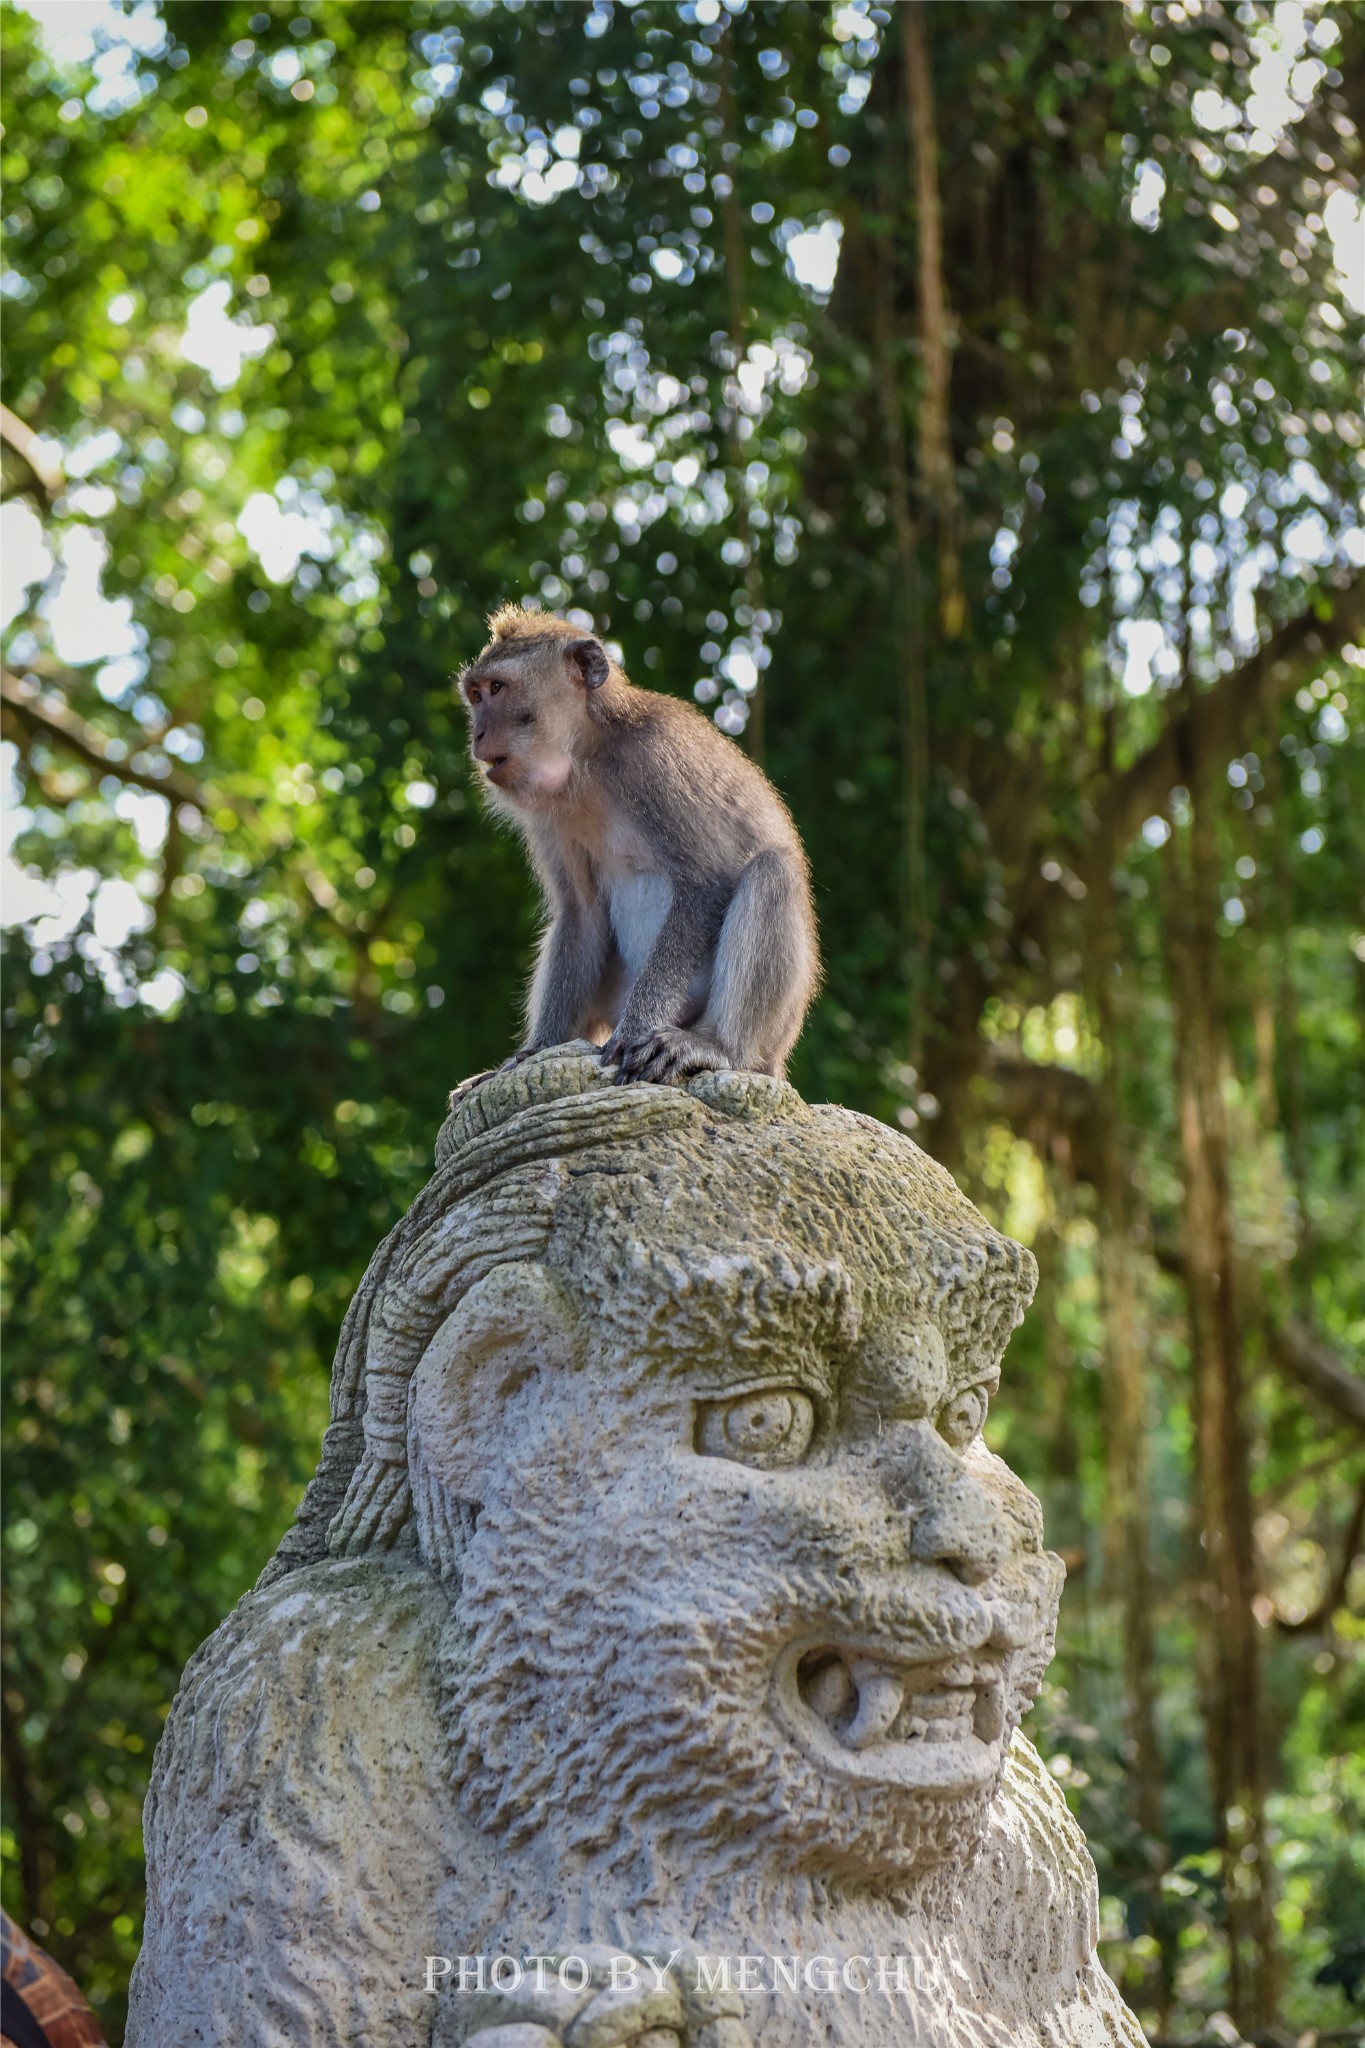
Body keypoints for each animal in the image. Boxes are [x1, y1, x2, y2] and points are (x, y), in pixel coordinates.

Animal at [458, 602, 822, 1089]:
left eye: (497, 688)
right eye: (476, 695)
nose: (477, 734)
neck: (588, 758)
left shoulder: (655, 763)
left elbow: (706, 883)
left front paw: (632, 1033)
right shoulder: (548, 816)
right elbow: (581, 912)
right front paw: (537, 1049)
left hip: (768, 1034)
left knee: (772, 871)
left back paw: (718, 1047)